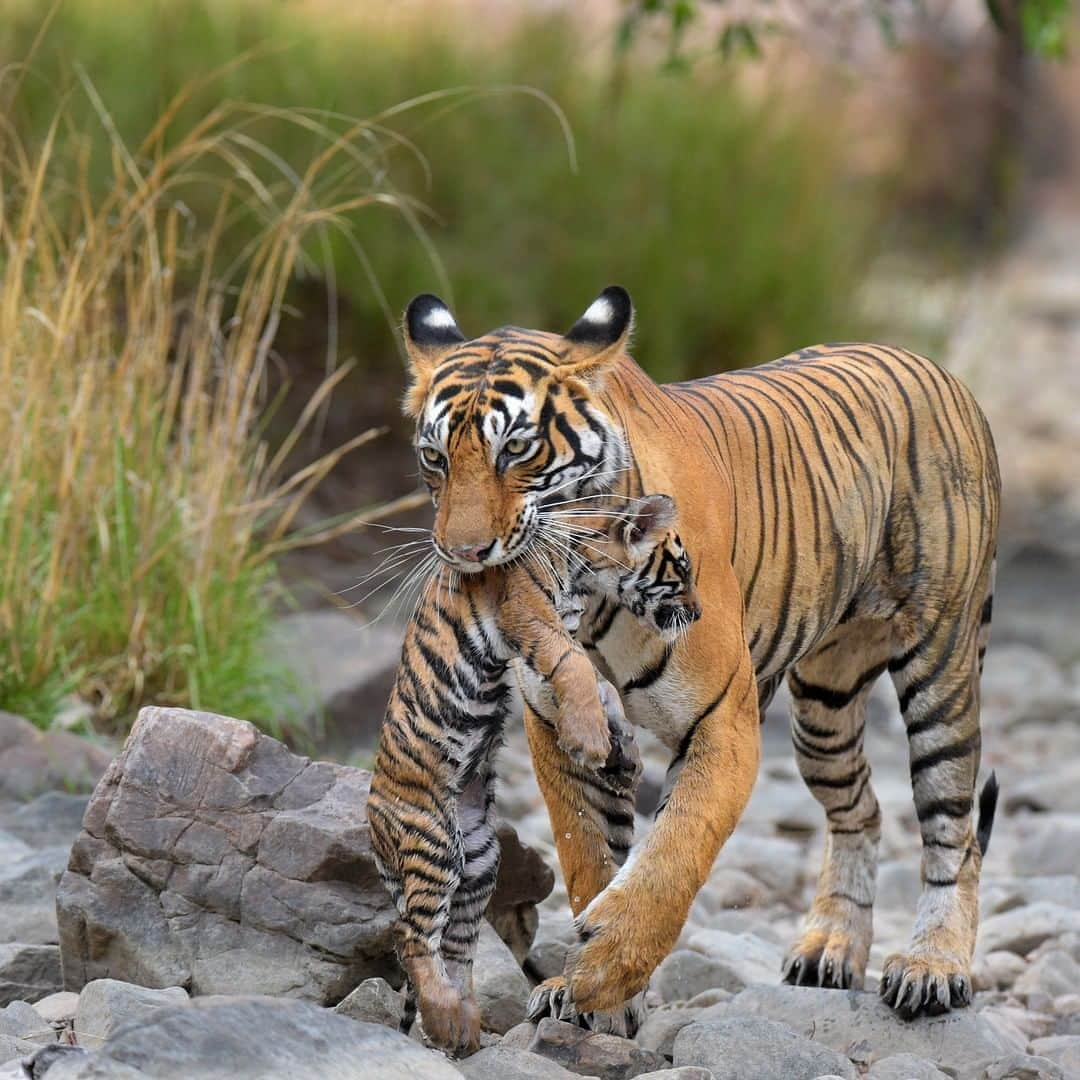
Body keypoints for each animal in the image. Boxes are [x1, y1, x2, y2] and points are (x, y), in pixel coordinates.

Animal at [401, 285, 997, 1019]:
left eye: (516, 449)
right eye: (435, 457)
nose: (463, 553)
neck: (588, 585)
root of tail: (935, 367)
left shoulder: (723, 723)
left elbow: (675, 849)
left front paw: (607, 966)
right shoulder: (560, 728)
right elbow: (586, 851)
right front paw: (585, 992)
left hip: (941, 666)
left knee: (952, 828)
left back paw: (932, 966)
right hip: (824, 706)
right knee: (860, 809)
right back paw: (829, 947)